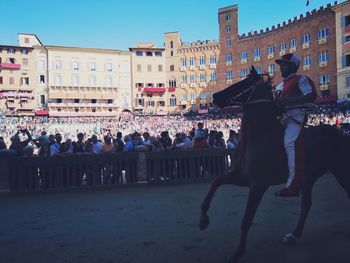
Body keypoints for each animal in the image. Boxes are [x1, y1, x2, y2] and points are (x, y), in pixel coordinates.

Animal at [198, 68, 348, 263]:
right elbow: (216, 182)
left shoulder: (259, 184)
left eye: (243, 83)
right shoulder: (242, 176)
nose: (215, 96)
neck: (260, 135)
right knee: (306, 205)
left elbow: (246, 219)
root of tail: (336, 132)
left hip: (340, 170)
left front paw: (237, 252)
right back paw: (293, 235)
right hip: (308, 177)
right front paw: (203, 220)